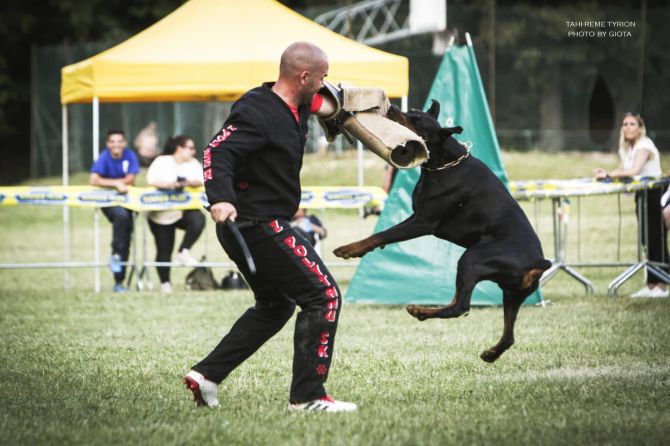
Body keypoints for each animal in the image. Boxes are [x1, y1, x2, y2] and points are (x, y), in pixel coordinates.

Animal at [334, 100, 551, 363]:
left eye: (417, 120)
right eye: (411, 111)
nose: (393, 107)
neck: (442, 163)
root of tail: (537, 263)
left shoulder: (423, 221)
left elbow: (381, 234)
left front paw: (349, 249)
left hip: (473, 259)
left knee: (461, 307)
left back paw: (420, 310)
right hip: (513, 293)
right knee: (507, 333)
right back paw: (490, 353)